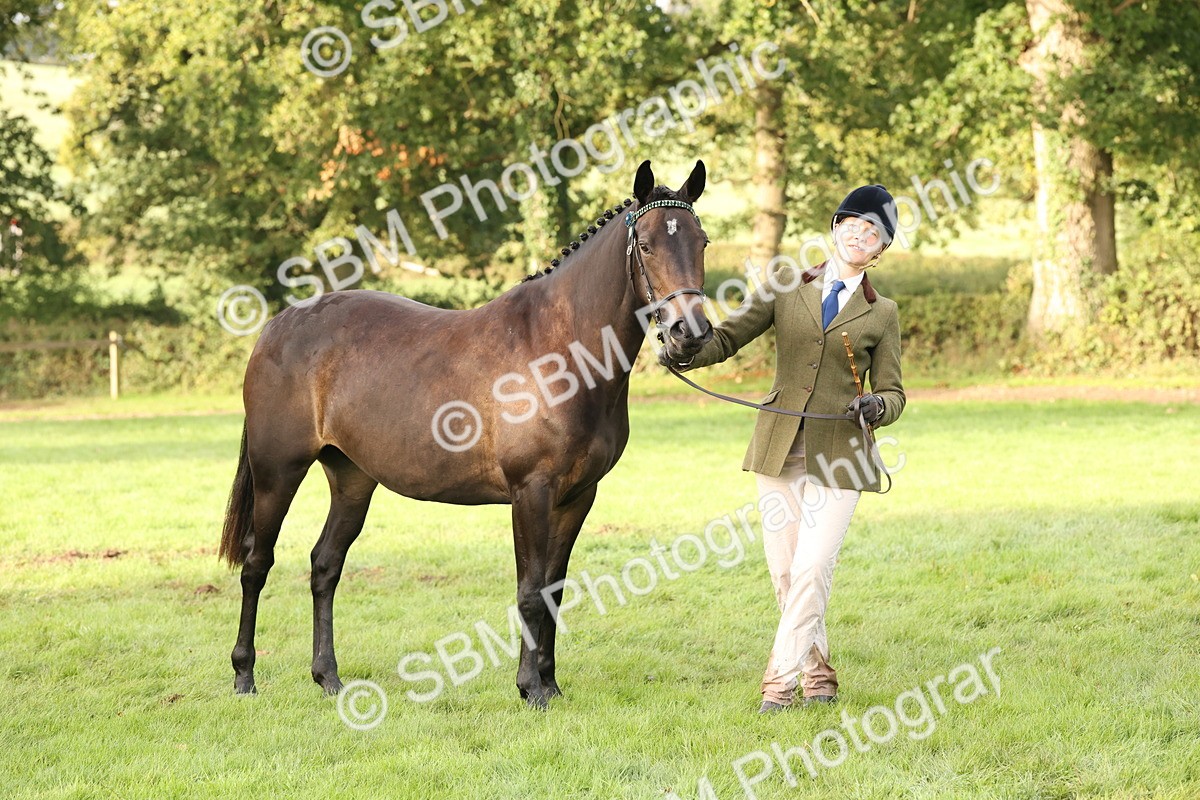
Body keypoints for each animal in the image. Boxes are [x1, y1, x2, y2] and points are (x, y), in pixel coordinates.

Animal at [219, 160, 713, 708]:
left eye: (702, 242)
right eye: (646, 245)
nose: (689, 334)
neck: (560, 350)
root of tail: (276, 327)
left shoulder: (578, 496)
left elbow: (554, 590)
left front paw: (551, 684)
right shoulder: (531, 492)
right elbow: (530, 590)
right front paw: (530, 689)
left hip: (352, 480)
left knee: (325, 565)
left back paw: (328, 678)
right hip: (277, 472)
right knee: (257, 564)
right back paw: (244, 676)